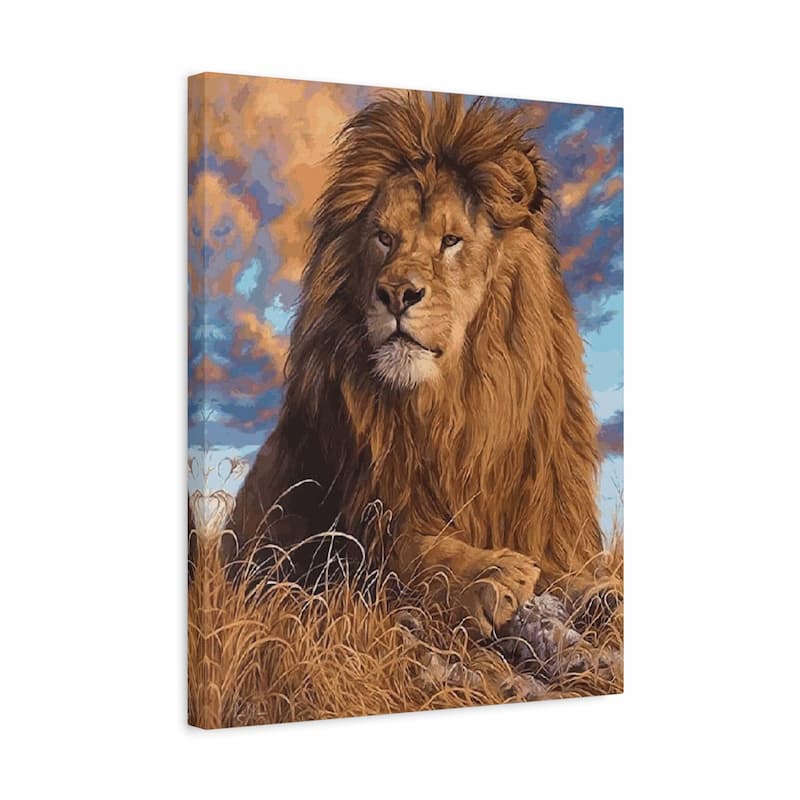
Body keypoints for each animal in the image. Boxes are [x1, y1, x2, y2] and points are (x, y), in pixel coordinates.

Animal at [228, 92, 607, 638]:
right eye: (384, 237)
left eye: (450, 241)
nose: (396, 293)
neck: (453, 408)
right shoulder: (355, 532)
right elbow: (415, 552)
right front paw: (493, 574)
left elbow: (569, 568)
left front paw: (600, 592)